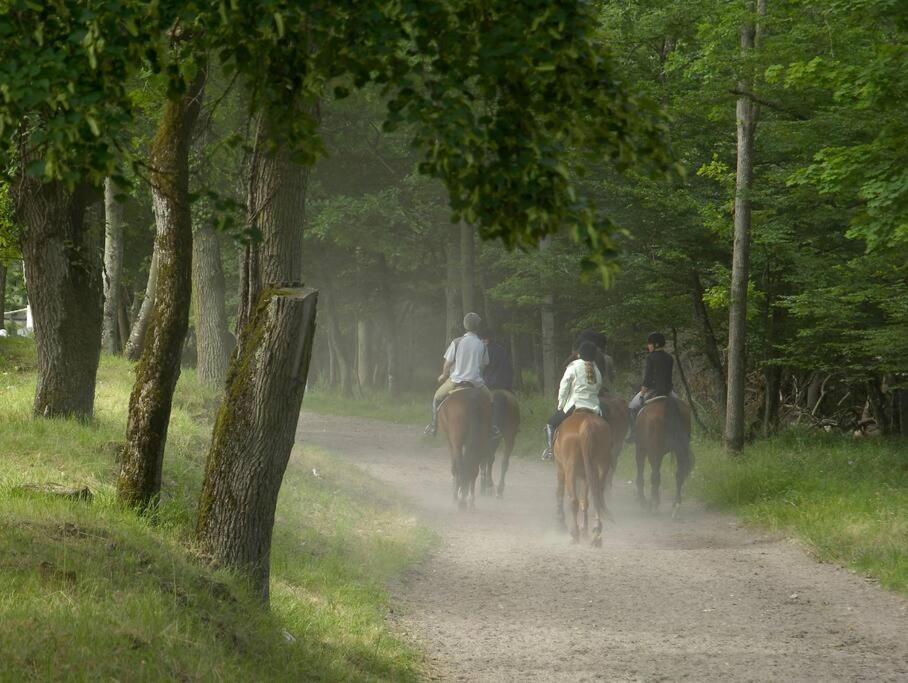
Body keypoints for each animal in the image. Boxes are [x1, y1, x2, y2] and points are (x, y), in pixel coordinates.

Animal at [548, 408, 612, 548]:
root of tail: (586, 425)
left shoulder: (561, 470)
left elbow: (559, 493)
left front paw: (560, 523)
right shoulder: (585, 477)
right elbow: (585, 502)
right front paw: (585, 530)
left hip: (570, 471)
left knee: (573, 501)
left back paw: (575, 534)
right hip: (600, 469)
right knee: (597, 496)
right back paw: (596, 533)